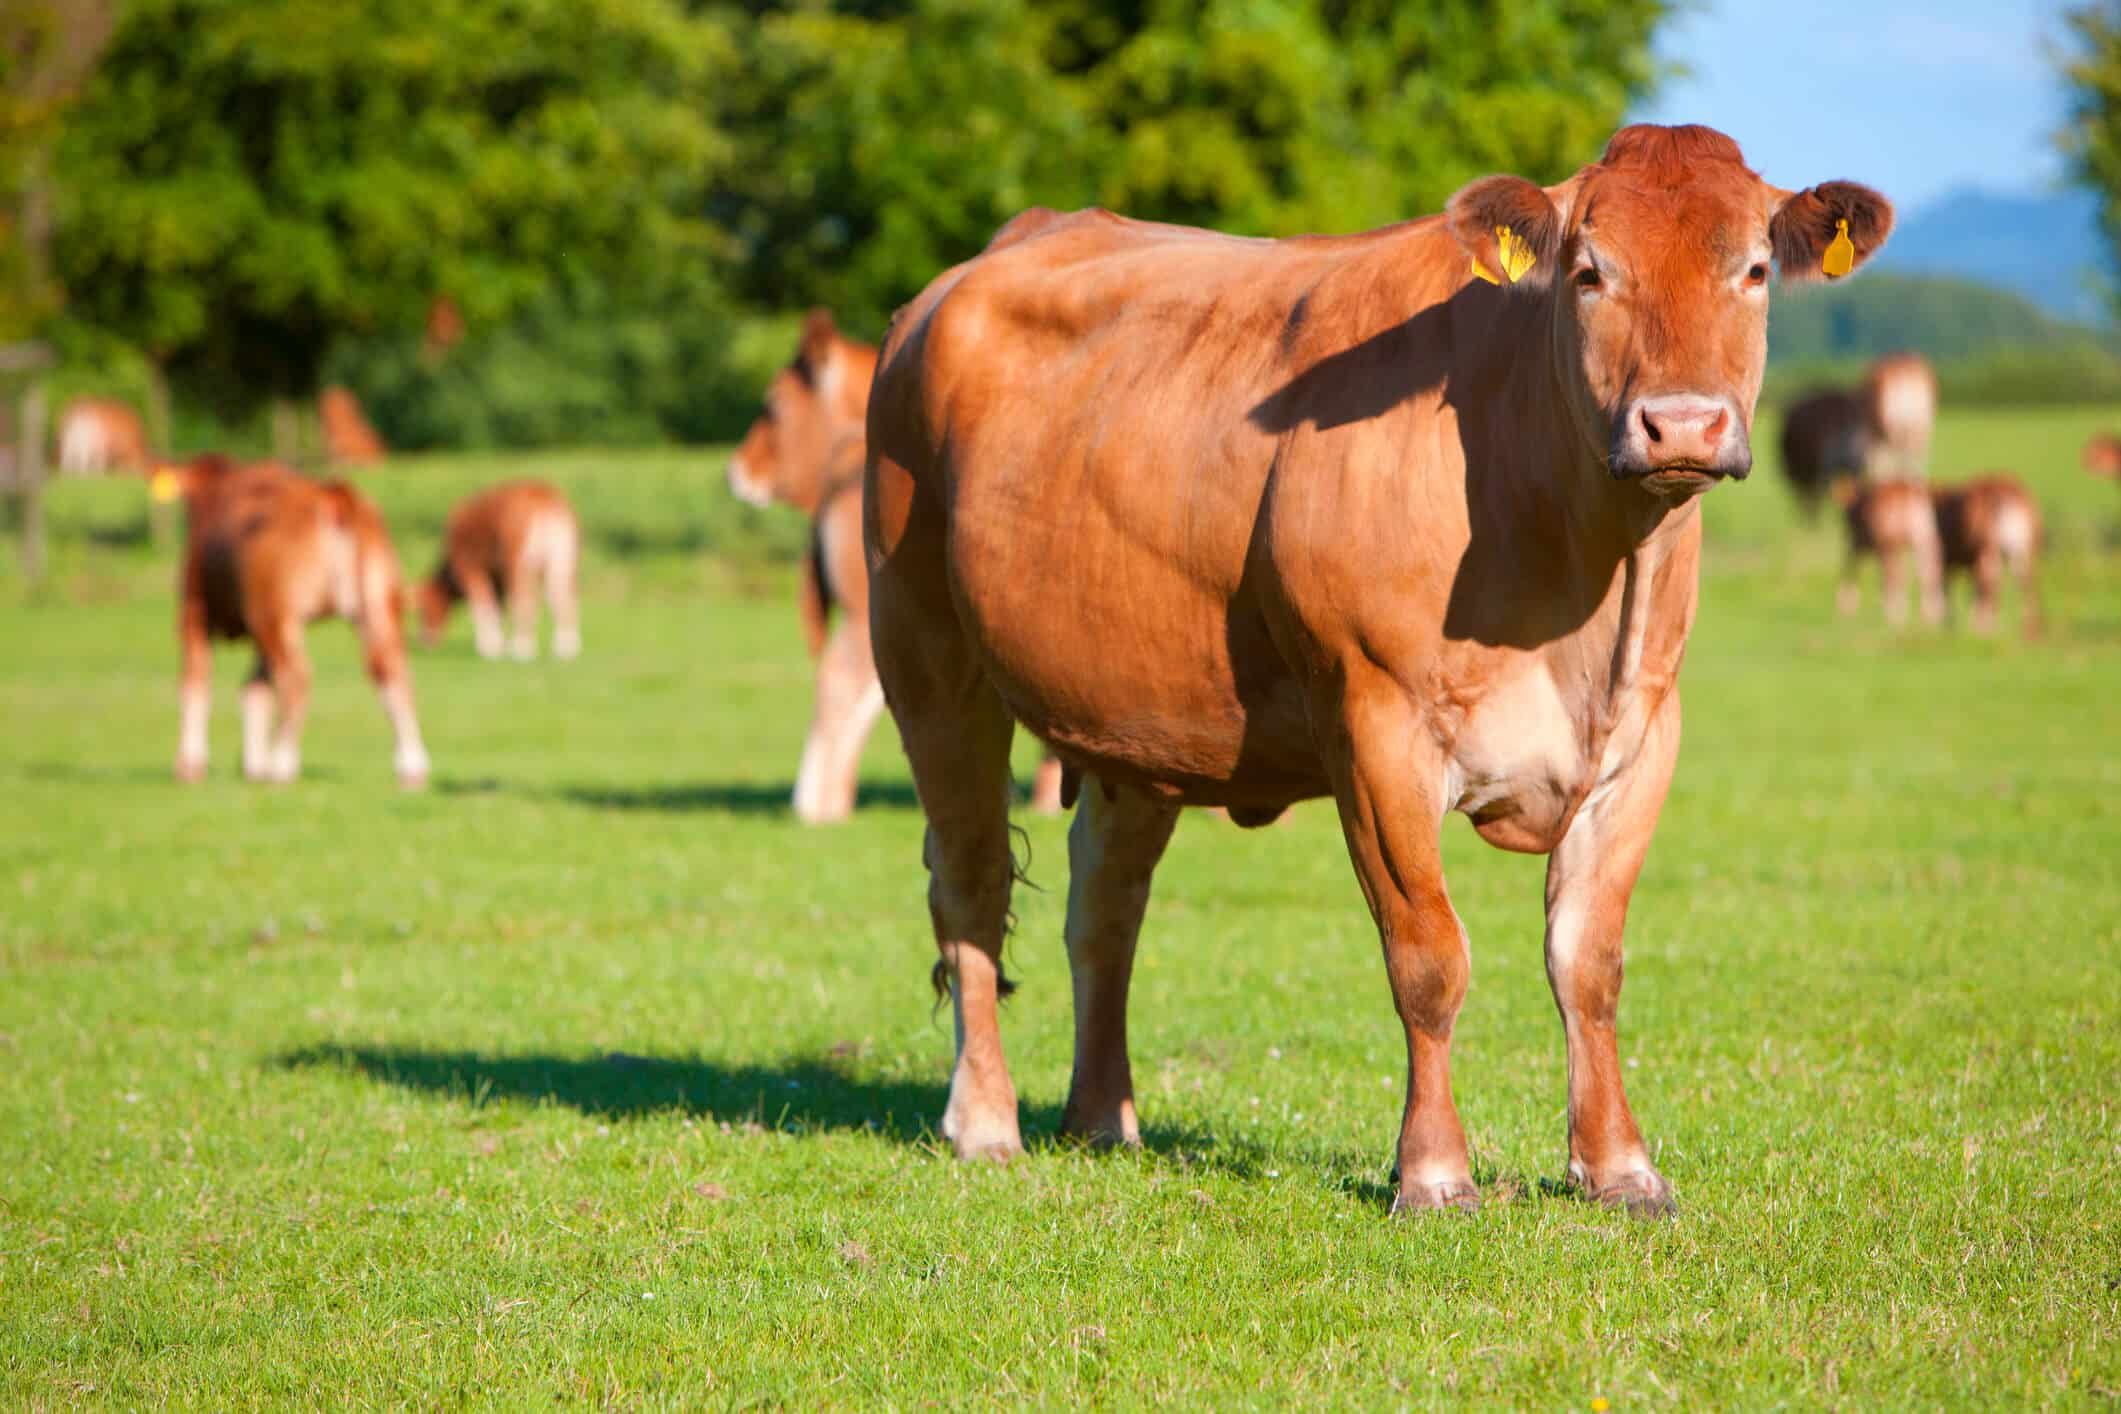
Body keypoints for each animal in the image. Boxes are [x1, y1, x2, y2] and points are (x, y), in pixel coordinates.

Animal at [153, 453, 430, 784]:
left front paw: (191, 764)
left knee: (296, 679)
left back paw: (281, 763)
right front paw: (253, 765)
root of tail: (332, 495)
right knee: (393, 672)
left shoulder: (194, 611)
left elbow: (195, 685)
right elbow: (255, 689)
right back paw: (411, 766)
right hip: (377, 606)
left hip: (274, 613)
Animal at [415, 481, 581, 665]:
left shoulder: (469, 567)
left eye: (423, 610)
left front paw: (488, 648)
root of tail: (544, 499)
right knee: (563, 600)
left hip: (517, 562)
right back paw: (565, 650)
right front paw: (499, 645)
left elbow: (482, 606)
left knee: (523, 601)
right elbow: (498, 608)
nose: (425, 641)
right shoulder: (497, 579)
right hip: (561, 562)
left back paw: (521, 650)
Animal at [1832, 479, 1942, 627]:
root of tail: (1907, 491)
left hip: (1891, 543)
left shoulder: (1862, 543)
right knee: (1926, 573)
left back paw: (1895, 615)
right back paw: (1929, 616)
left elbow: (1853, 568)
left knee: (1895, 575)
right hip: (1924, 542)